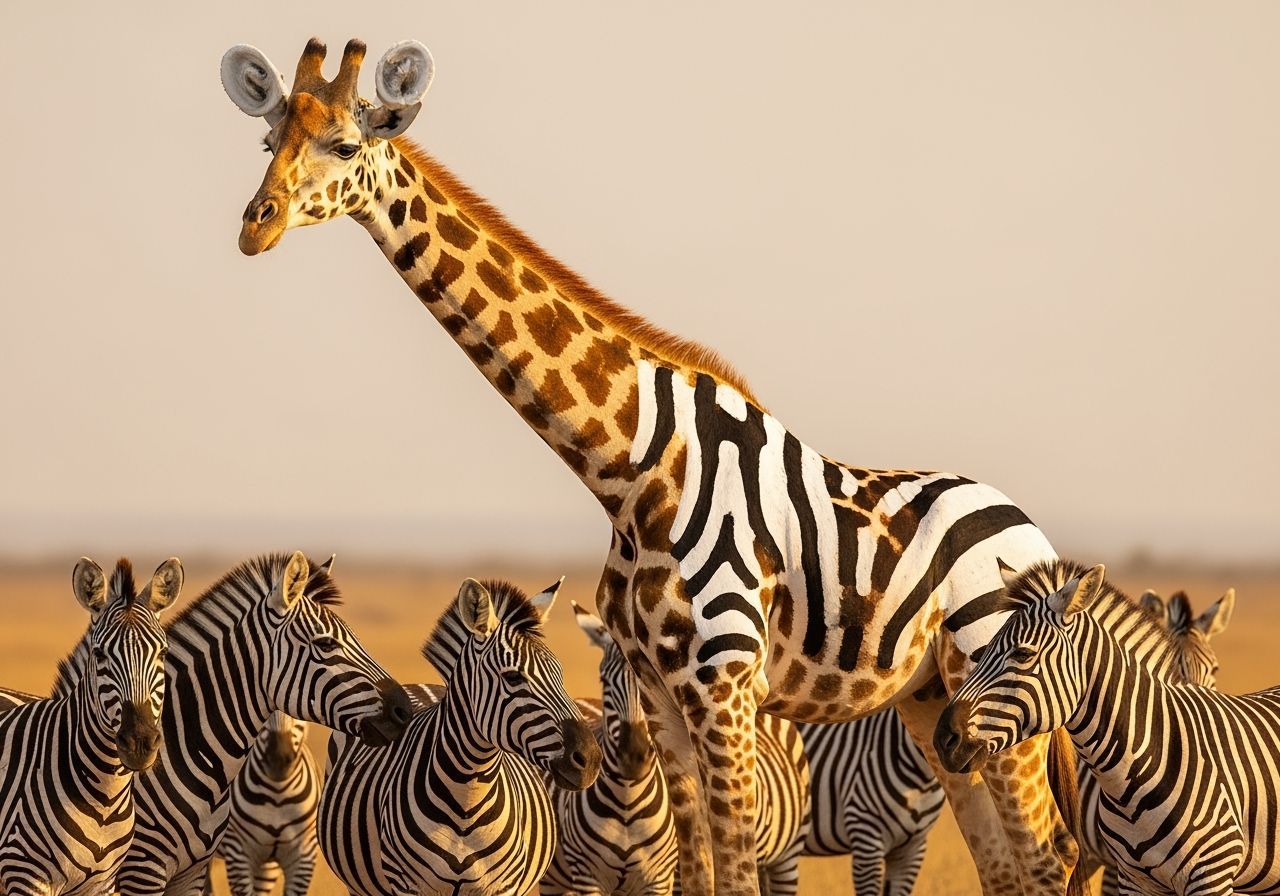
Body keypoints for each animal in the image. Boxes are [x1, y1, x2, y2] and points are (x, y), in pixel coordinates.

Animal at [0, 556, 180, 896]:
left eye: (163, 653)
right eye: (99, 654)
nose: (139, 742)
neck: (104, 802)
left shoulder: (102, 884)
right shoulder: (24, 874)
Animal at [319, 577, 602, 896]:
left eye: (560, 674)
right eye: (513, 677)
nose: (591, 760)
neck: (468, 799)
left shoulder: (503, 887)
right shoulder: (406, 885)